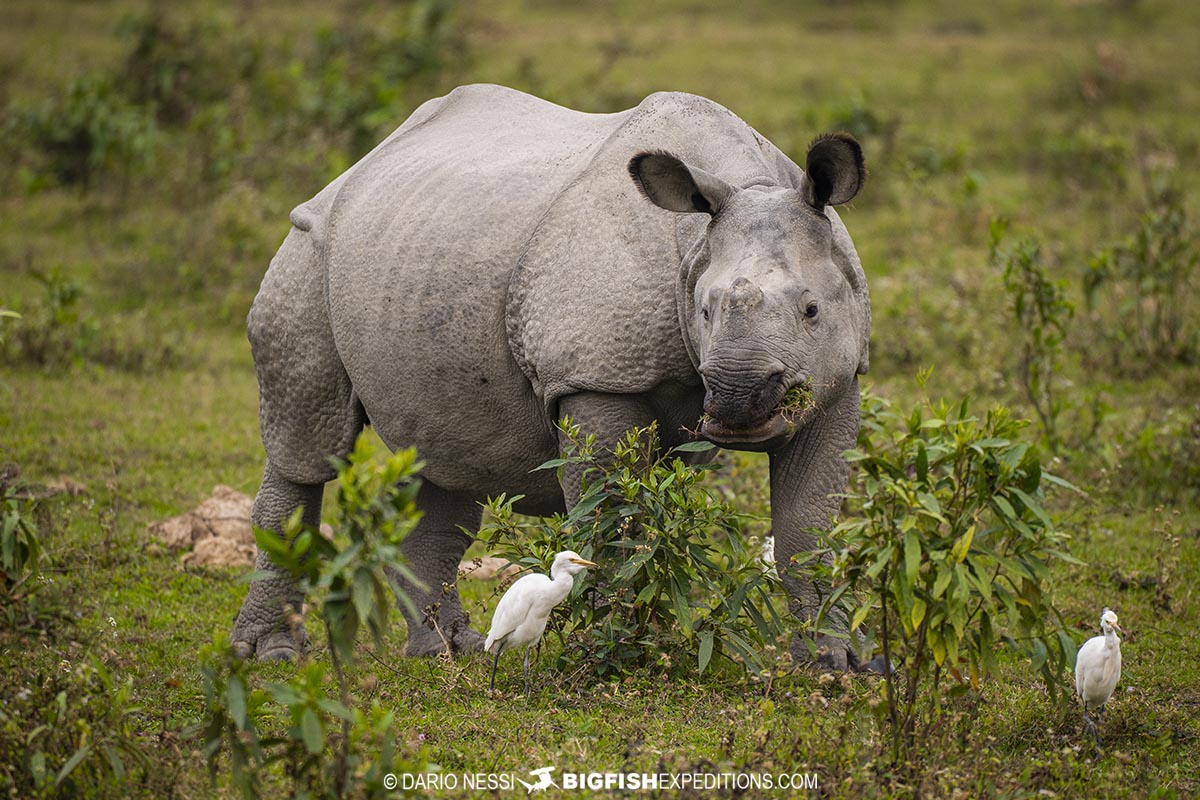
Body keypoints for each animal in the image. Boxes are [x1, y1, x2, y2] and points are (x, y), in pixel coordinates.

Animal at [232, 84, 871, 669]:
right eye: (705, 312)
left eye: (812, 310)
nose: (738, 402)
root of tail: (359, 165)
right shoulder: (595, 376)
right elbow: (612, 519)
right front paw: (619, 654)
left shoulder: (837, 381)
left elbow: (806, 528)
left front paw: (835, 661)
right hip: (308, 246)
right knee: (309, 444)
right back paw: (273, 656)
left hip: (421, 250)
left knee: (450, 458)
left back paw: (448, 652)